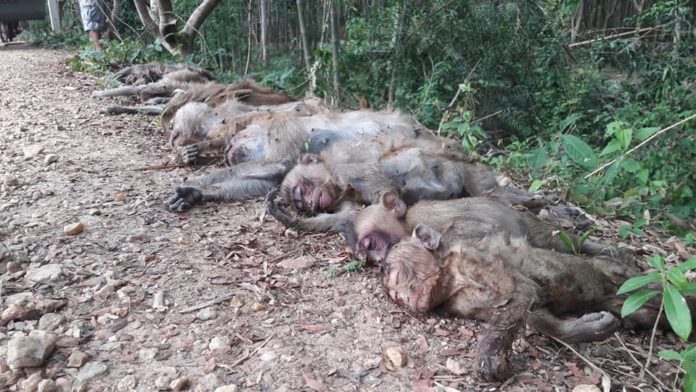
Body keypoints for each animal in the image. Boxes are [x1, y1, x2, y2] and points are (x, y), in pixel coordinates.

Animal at [166, 110, 422, 211]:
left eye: (239, 137)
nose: (228, 149)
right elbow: (267, 183)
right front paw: (195, 194)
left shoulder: (283, 128)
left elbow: (277, 163)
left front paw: (200, 180)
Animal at [380, 222, 676, 382]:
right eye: (393, 294)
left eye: (393, 272)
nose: (397, 293)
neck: (452, 280)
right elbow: (539, 317)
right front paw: (590, 329)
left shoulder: (474, 259)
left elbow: (522, 292)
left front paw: (490, 355)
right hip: (630, 303)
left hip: (627, 278)